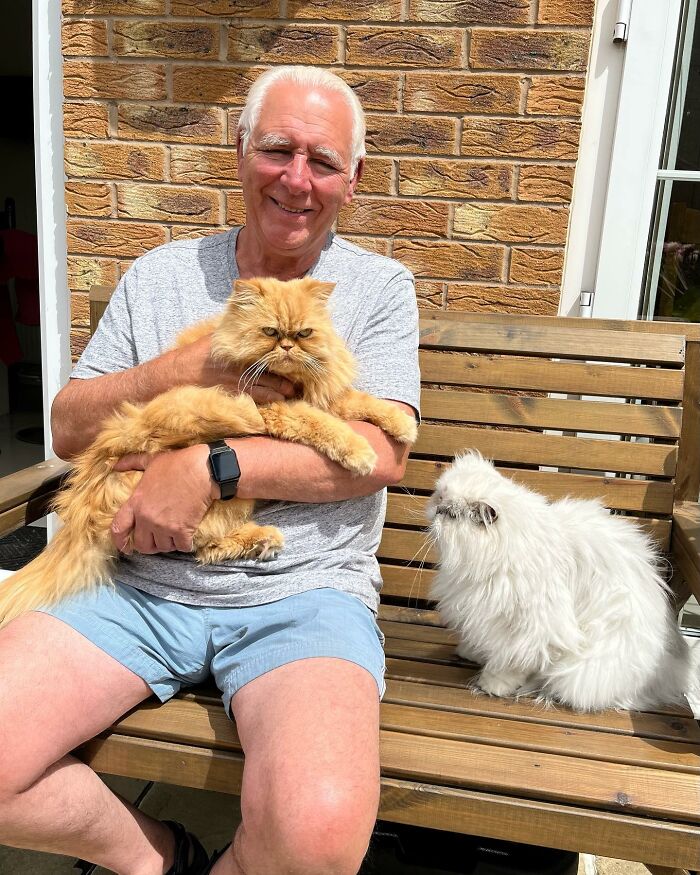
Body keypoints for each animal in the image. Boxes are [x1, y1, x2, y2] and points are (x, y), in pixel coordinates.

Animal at [0, 278, 416, 628]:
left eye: (304, 334)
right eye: (270, 332)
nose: (287, 347)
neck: (290, 381)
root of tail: (83, 506)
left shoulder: (324, 395)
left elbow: (362, 402)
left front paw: (403, 424)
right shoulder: (273, 408)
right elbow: (325, 425)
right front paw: (361, 453)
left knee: (204, 548)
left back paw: (262, 542)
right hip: (227, 497)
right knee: (202, 544)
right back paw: (262, 540)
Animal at [426, 452, 696, 712]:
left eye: (451, 515)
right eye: (438, 497)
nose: (436, 510)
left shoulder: (534, 627)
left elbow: (513, 661)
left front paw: (492, 684)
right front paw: (471, 653)